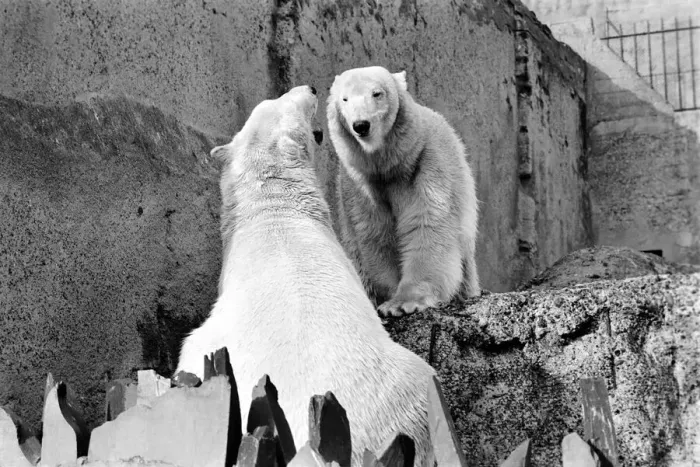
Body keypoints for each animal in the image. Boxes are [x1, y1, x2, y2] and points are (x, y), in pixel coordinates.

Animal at [326, 65, 480, 317]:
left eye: (377, 93)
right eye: (344, 99)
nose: (361, 125)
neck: (389, 166)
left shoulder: (426, 162)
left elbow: (427, 224)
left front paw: (403, 303)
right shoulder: (359, 183)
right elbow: (376, 234)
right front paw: (389, 298)